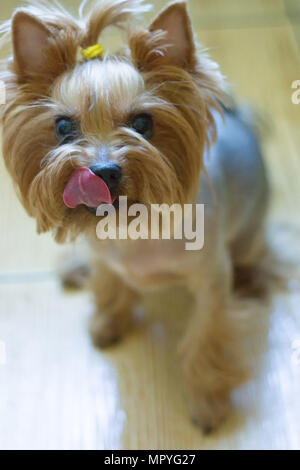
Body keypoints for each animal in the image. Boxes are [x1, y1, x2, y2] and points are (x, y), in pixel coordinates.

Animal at [0, 0, 268, 434]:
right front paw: (109, 320)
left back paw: (253, 280)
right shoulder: (104, 255)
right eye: (63, 126)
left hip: (249, 234)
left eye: (143, 123)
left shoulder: (211, 278)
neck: (131, 226)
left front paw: (207, 400)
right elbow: (109, 281)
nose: (103, 171)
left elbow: (206, 332)